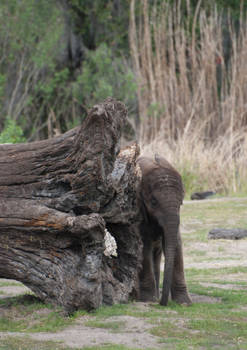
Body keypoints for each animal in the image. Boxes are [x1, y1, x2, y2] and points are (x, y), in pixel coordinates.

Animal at [137, 154, 191, 304]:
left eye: (181, 203)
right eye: (154, 202)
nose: (162, 303)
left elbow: (176, 244)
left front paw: (184, 303)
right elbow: (144, 246)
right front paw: (148, 299)